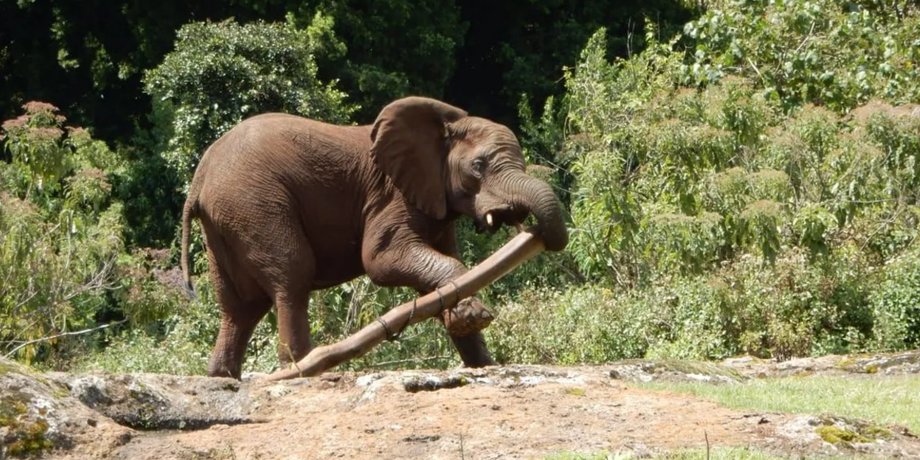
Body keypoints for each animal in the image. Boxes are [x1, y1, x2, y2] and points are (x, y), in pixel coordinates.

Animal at [180, 96, 568, 378]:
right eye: (478, 167)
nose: (533, 230)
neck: (444, 127)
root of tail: (198, 180)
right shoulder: (391, 194)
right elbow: (382, 260)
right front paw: (472, 315)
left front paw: (481, 363)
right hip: (254, 204)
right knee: (291, 277)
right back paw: (302, 370)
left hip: (226, 221)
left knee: (239, 306)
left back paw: (223, 378)